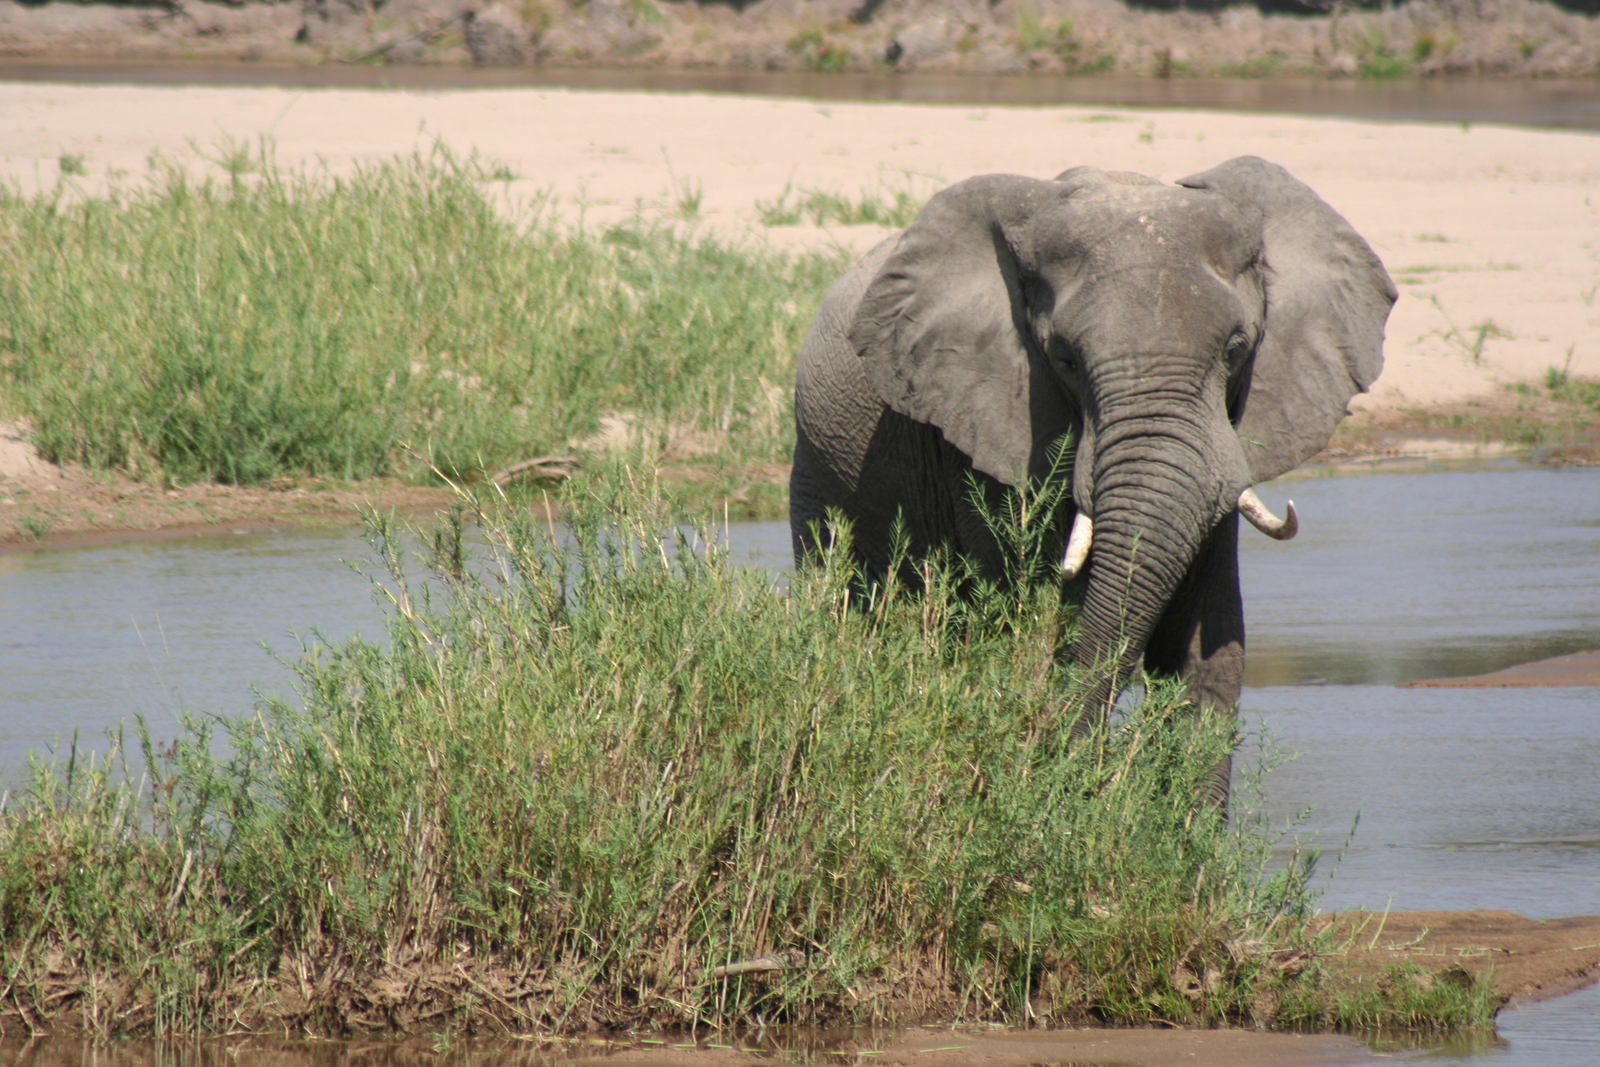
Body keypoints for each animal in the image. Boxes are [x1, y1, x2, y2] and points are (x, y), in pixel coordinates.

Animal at [789, 156, 1396, 803]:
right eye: (1064, 360)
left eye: (1236, 350)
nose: (1065, 773)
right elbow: (1027, 622)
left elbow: (1209, 649)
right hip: (815, 473)